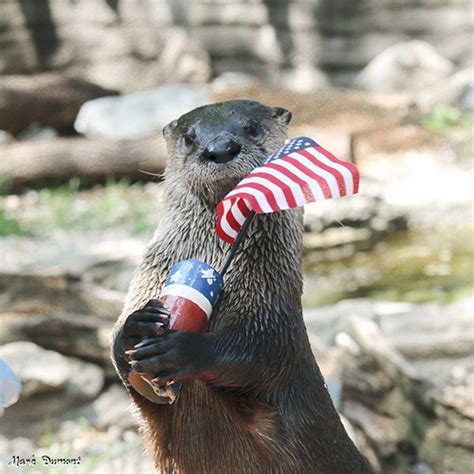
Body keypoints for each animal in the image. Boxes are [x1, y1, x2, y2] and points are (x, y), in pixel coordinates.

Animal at [109, 98, 372, 472]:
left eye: (251, 128)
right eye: (189, 137)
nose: (219, 148)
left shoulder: (270, 306)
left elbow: (258, 352)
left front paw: (182, 349)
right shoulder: (151, 276)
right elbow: (126, 368)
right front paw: (135, 329)